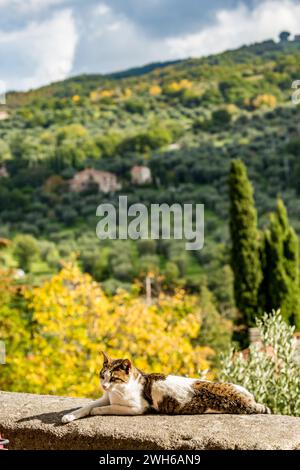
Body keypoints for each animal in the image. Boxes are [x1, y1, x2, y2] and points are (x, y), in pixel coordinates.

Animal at [61, 352, 270, 422]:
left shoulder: (137, 408)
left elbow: (104, 408)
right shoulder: (105, 397)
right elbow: (87, 406)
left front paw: (95, 412)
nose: (104, 386)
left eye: (113, 378)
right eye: (102, 376)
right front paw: (69, 416)